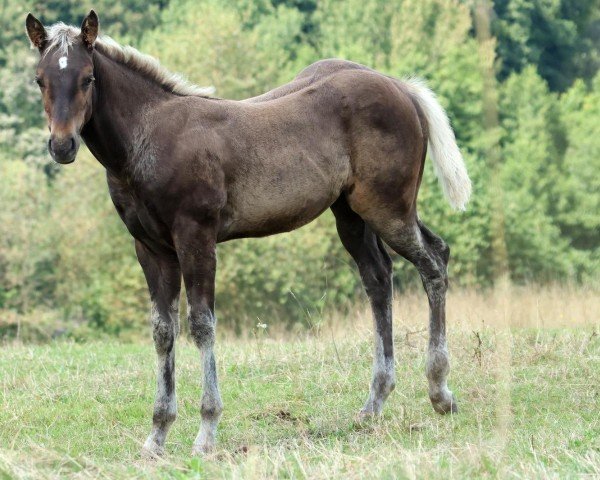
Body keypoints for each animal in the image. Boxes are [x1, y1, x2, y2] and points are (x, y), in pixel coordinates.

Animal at [25, 9, 472, 456]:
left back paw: (440, 392)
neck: (149, 138)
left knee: (434, 262)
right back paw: (374, 401)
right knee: (379, 279)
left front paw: (206, 432)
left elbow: (201, 324)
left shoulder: (196, 237)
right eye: (40, 79)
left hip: (388, 208)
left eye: (87, 78)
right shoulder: (150, 249)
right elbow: (163, 331)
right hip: (352, 215)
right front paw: (157, 435)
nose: (62, 146)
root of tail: (402, 88)